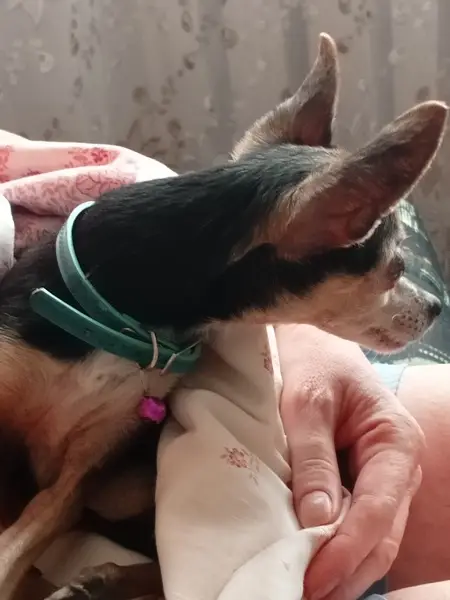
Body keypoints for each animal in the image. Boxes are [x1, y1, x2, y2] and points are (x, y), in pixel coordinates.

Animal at [0, 33, 446, 600]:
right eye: (395, 267)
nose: (436, 306)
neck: (112, 316)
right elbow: (12, 544)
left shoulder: (86, 468)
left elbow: (28, 533)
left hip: (124, 490)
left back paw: (102, 579)